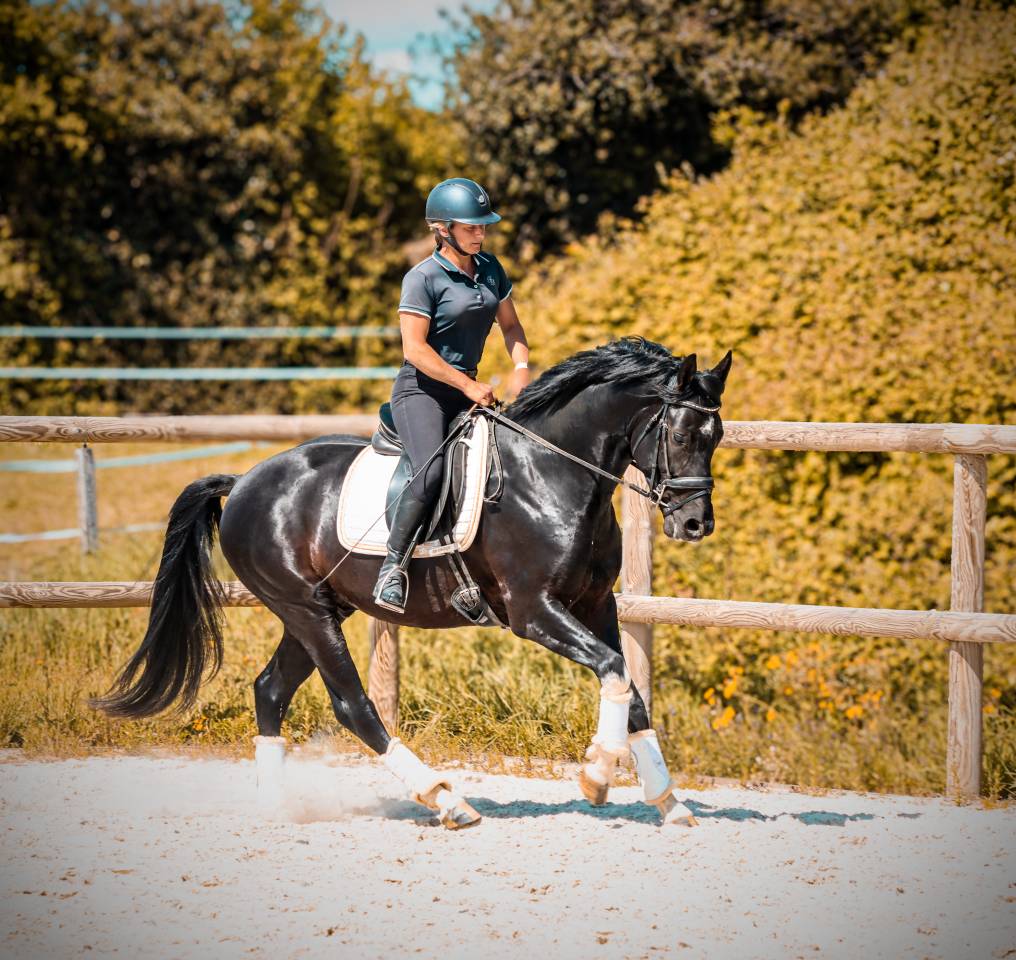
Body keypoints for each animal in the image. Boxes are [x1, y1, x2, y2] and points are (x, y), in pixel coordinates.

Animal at [93, 337, 732, 829]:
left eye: (717, 435)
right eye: (680, 436)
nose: (696, 524)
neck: (551, 473)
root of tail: (246, 480)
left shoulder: (597, 605)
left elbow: (630, 688)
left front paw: (668, 801)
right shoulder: (534, 611)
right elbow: (612, 669)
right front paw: (597, 774)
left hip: (319, 609)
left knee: (270, 690)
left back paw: (276, 807)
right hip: (305, 609)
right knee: (353, 705)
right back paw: (446, 801)